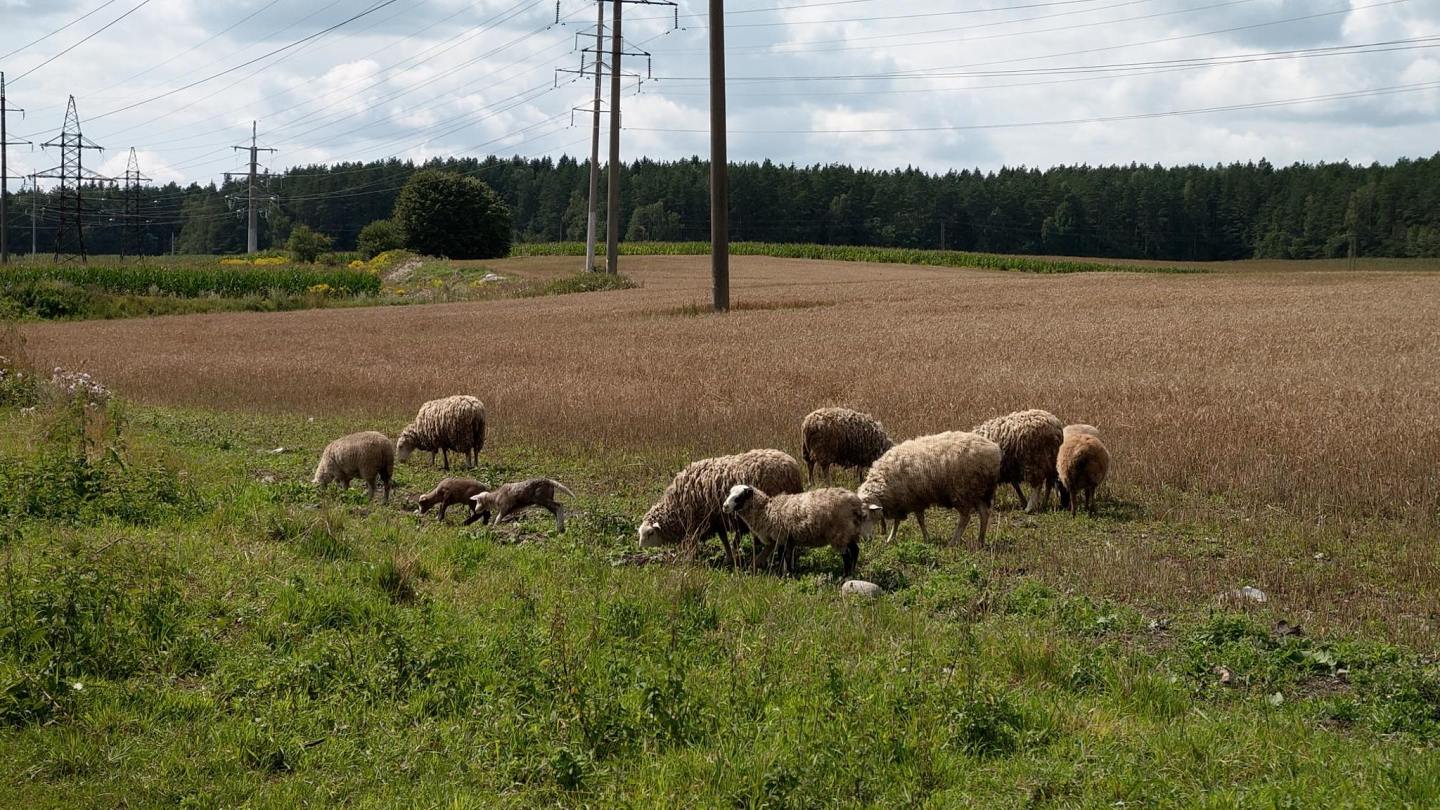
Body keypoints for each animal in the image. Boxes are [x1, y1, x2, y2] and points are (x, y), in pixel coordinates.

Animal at [642, 446, 812, 567]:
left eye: (649, 533)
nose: (640, 547)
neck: (677, 505)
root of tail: (792, 465)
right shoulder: (717, 519)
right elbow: (725, 539)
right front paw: (730, 557)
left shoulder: (700, 521)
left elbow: (697, 543)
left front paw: (688, 559)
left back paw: (763, 561)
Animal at [720, 481, 875, 570]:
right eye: (729, 493)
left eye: (739, 497)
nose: (724, 506)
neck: (766, 510)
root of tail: (856, 502)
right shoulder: (789, 540)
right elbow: (788, 558)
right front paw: (790, 574)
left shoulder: (781, 537)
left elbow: (782, 557)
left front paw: (781, 575)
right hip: (849, 531)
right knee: (855, 550)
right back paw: (852, 573)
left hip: (839, 533)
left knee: (847, 555)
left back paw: (845, 576)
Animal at [852, 432, 1002, 544]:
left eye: (865, 516)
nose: (864, 540)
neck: (884, 481)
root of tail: (994, 450)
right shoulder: (901, 501)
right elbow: (897, 522)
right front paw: (890, 538)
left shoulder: (915, 499)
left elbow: (920, 520)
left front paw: (926, 538)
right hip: (977, 491)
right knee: (984, 513)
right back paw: (980, 540)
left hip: (962, 491)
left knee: (965, 517)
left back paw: (953, 541)